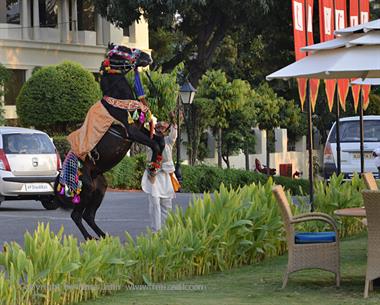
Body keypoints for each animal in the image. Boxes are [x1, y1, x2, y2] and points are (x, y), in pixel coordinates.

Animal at [54, 44, 163, 240]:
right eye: (124, 50)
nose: (147, 56)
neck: (118, 99)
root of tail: (63, 175)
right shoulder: (131, 132)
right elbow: (155, 144)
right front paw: (152, 169)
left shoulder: (139, 129)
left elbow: (160, 141)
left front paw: (156, 165)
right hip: (87, 189)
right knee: (77, 215)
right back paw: (90, 238)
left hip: (100, 189)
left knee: (88, 215)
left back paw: (103, 236)